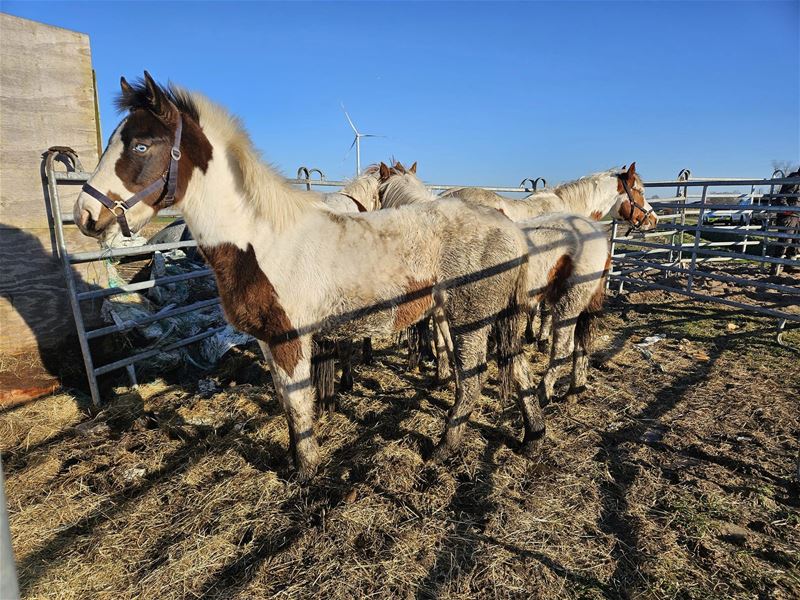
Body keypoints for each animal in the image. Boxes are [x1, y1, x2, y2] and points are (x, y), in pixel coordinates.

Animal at [75, 74, 548, 474]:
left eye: (141, 145)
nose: (85, 215)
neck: (263, 241)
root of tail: (508, 226)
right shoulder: (267, 341)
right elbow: (287, 403)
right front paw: (294, 460)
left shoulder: (290, 339)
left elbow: (299, 403)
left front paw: (306, 471)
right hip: (486, 317)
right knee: (518, 366)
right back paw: (532, 437)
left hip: (470, 319)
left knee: (472, 381)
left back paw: (444, 448)